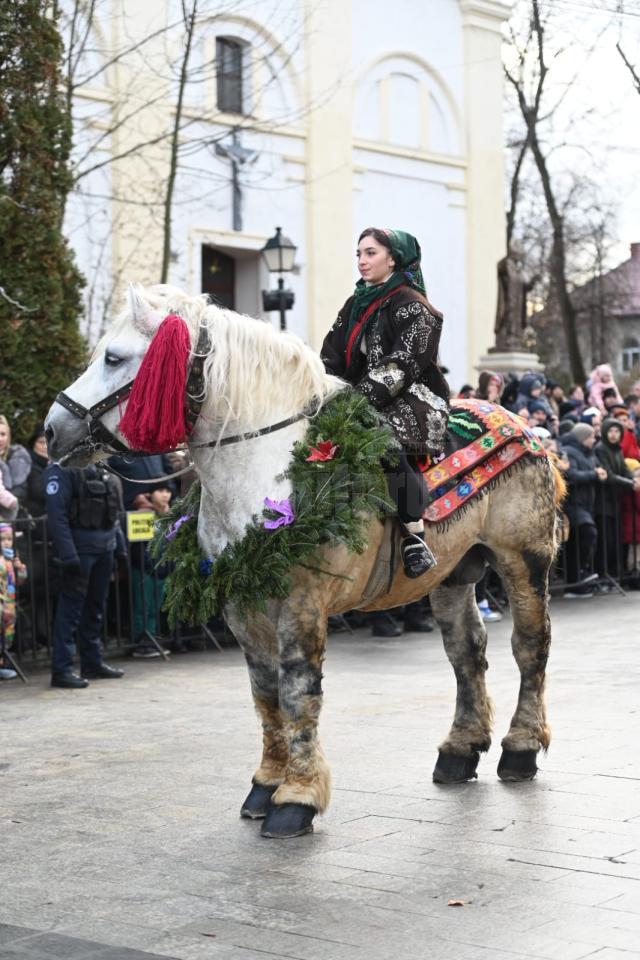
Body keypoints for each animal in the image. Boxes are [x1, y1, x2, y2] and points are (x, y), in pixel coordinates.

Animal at [47, 284, 564, 840]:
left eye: (114, 357)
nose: (52, 430)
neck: (267, 465)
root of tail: (524, 428)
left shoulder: (301, 601)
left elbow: (298, 691)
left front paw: (296, 798)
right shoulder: (242, 604)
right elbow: (266, 693)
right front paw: (265, 786)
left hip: (523, 559)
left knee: (530, 645)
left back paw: (520, 747)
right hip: (453, 573)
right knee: (466, 651)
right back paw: (460, 750)